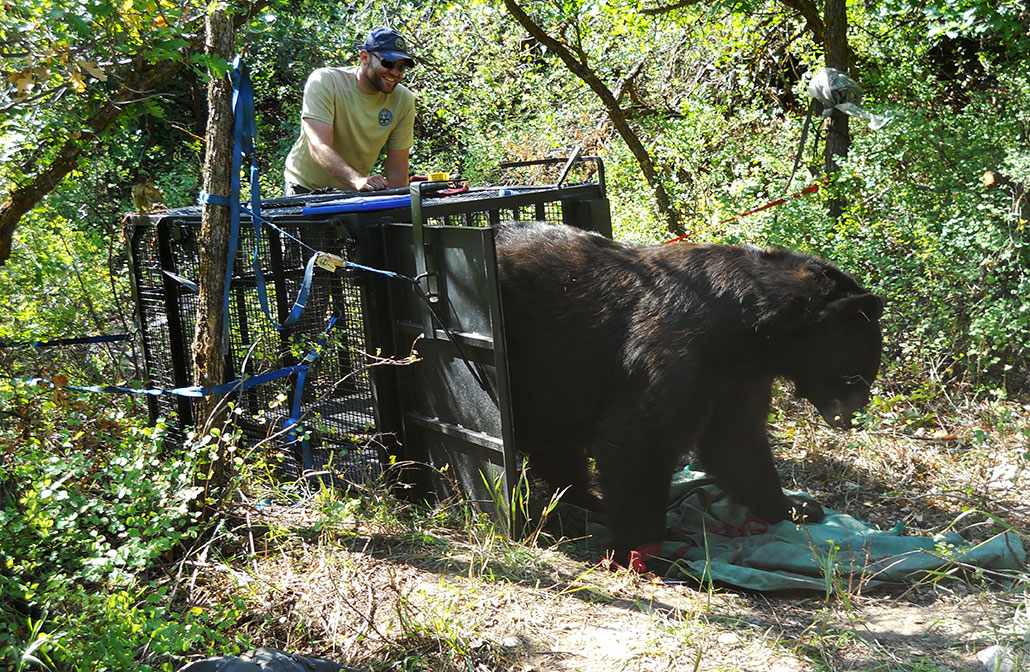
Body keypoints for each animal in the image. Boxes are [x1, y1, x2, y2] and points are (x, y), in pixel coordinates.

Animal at [494, 222, 881, 564]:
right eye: (857, 373)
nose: (851, 418)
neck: (754, 333)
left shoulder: (738, 379)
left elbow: (737, 440)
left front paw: (795, 505)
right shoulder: (676, 349)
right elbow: (642, 434)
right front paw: (642, 548)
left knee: (557, 449)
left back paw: (586, 500)